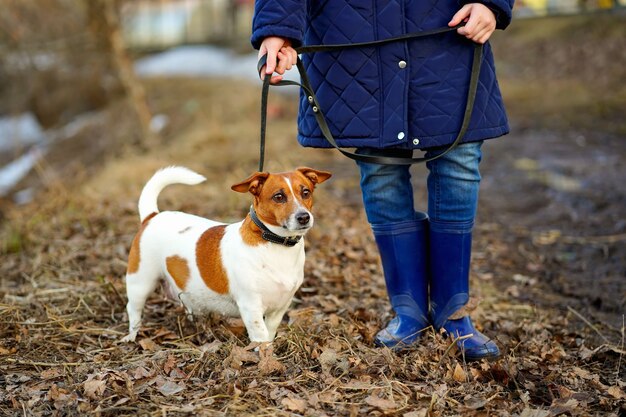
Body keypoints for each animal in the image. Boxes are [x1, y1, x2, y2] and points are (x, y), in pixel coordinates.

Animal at [119, 164, 330, 342]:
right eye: (278, 197)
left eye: (306, 192)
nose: (304, 217)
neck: (274, 244)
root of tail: (152, 216)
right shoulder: (251, 307)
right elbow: (261, 338)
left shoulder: (279, 308)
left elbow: (269, 333)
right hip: (140, 282)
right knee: (133, 308)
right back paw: (132, 336)